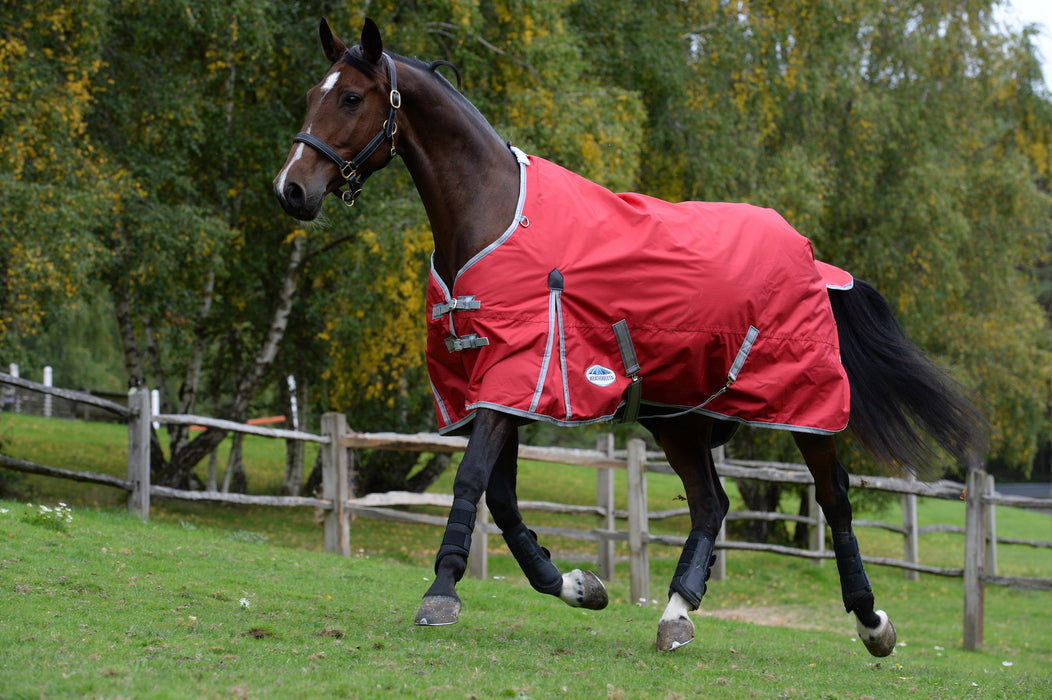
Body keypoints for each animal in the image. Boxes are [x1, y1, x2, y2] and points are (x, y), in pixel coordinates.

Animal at [273, 16, 984, 652]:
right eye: (310, 94)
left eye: (351, 97)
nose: (292, 190)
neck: (496, 215)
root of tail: (813, 259)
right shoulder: (495, 386)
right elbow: (501, 495)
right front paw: (575, 585)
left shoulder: (521, 377)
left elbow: (472, 479)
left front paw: (441, 593)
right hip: (680, 417)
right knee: (710, 504)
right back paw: (677, 613)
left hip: (802, 405)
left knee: (833, 499)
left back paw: (871, 621)